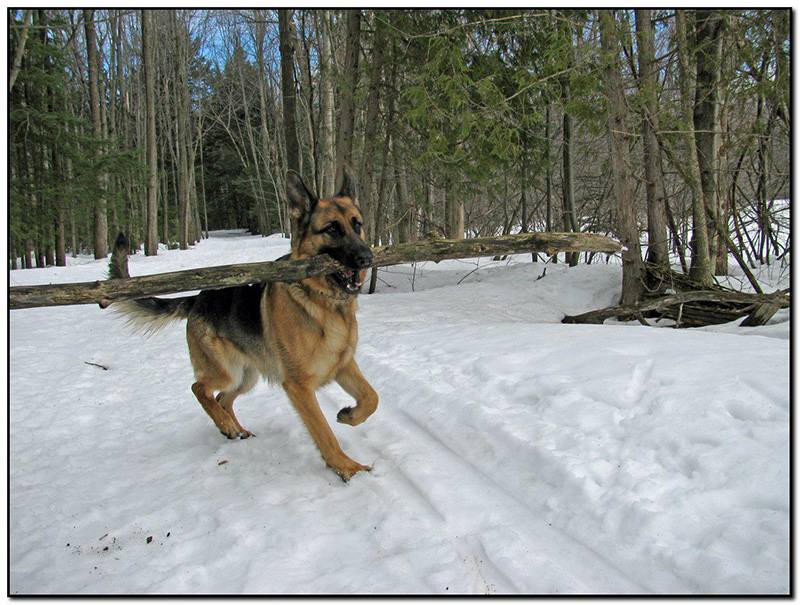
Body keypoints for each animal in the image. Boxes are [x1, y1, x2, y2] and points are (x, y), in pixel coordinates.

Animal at [108, 168, 378, 478]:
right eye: (332, 229)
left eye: (357, 225)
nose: (367, 258)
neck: (322, 302)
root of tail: (198, 297)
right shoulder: (299, 387)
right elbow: (324, 433)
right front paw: (346, 467)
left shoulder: (344, 366)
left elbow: (372, 398)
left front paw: (350, 416)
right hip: (226, 372)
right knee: (200, 389)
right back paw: (225, 424)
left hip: (246, 377)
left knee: (222, 399)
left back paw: (233, 428)